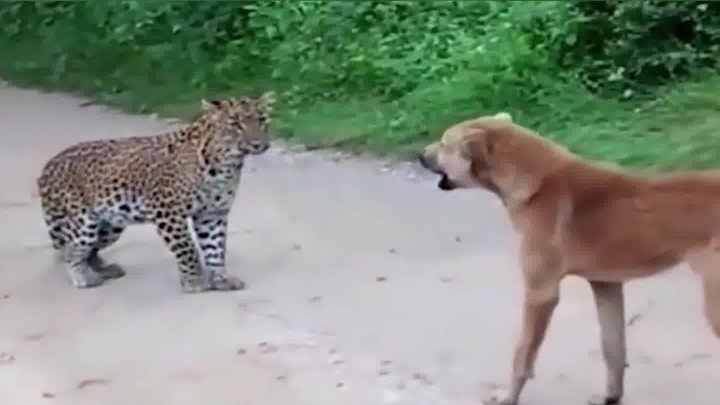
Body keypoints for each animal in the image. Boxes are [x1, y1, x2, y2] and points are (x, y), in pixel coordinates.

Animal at [36, 93, 275, 293]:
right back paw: (84, 277)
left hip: (111, 225)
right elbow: (187, 248)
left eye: (262, 120)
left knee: (91, 250)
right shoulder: (169, 214)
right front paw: (193, 281)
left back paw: (104, 269)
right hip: (83, 222)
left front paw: (221, 279)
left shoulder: (212, 215)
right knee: (72, 250)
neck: (226, 164)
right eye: (235, 124)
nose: (259, 144)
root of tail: (48, 166)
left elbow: (215, 249)